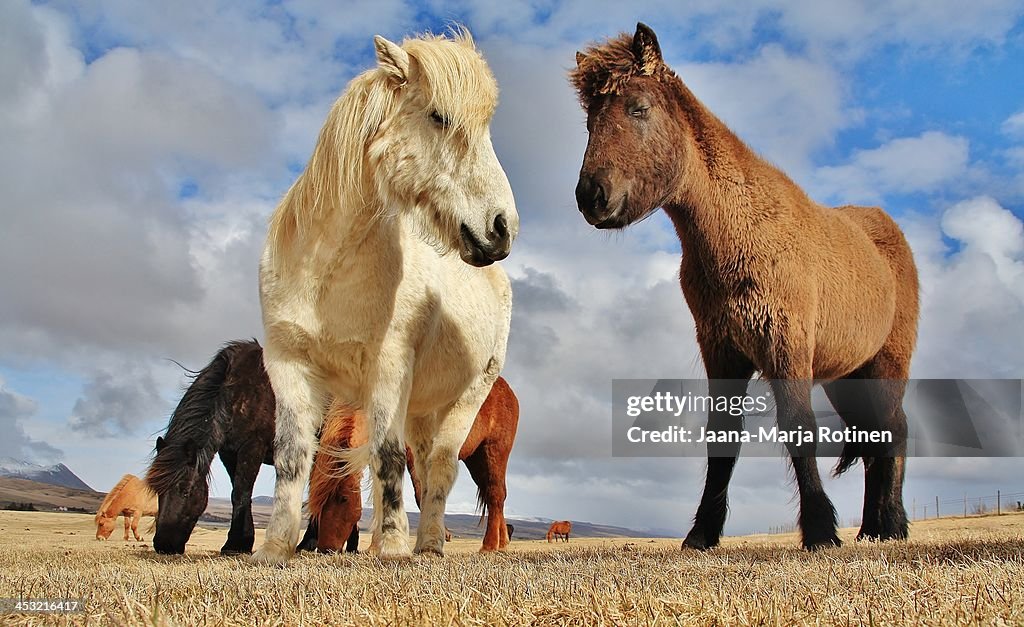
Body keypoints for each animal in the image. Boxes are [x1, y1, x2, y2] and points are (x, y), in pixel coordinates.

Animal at [248, 29, 520, 565]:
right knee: (420, 465)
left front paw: (393, 547)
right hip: (419, 408)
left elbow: (387, 457)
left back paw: (428, 545)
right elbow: (292, 458)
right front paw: (274, 549)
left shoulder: (388, 367)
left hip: (467, 398)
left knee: (440, 467)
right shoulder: (288, 364)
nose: (502, 228)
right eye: (439, 117)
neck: (327, 275)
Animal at [573, 23, 917, 549]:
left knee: (893, 430)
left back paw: (892, 525)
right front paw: (702, 534)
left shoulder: (785, 345)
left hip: (887, 365)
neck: (741, 229)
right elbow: (721, 437)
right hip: (849, 376)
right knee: (874, 434)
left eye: (638, 108)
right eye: (590, 122)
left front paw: (821, 531)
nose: (591, 195)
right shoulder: (722, 350)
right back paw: (873, 529)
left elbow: (798, 426)